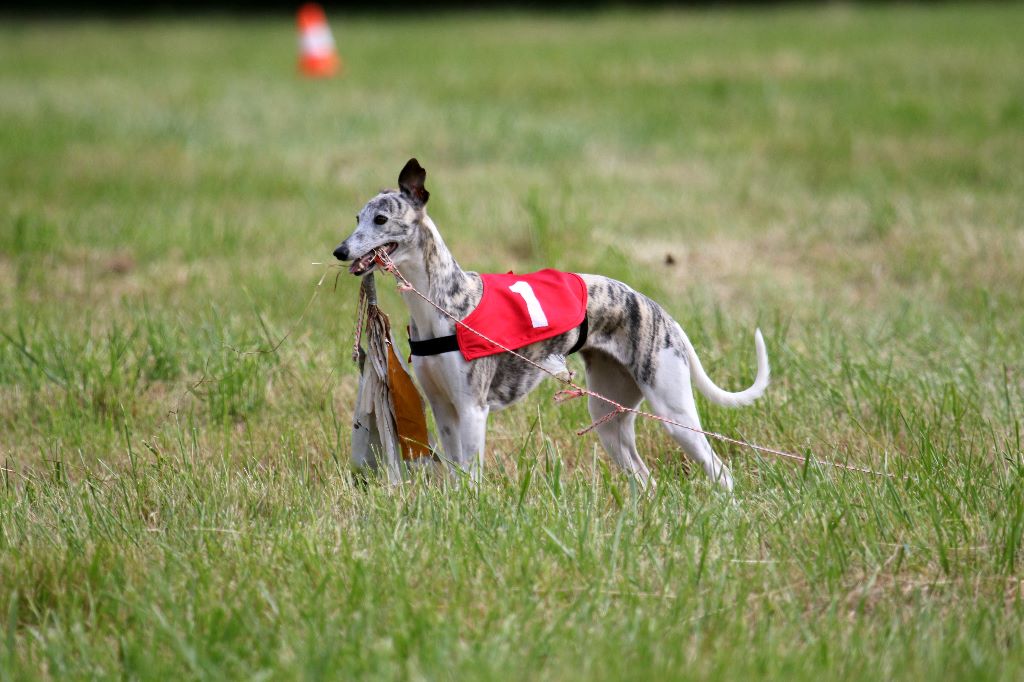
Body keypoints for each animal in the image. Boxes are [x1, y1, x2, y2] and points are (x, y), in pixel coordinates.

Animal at [335, 159, 770, 489]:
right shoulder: (444, 410)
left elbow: (471, 478)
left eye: (381, 219)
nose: (339, 251)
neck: (441, 303)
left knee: (721, 472)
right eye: (356, 217)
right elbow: (457, 476)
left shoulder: (473, 410)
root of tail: (658, 309)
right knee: (644, 480)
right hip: (610, 419)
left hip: (675, 412)